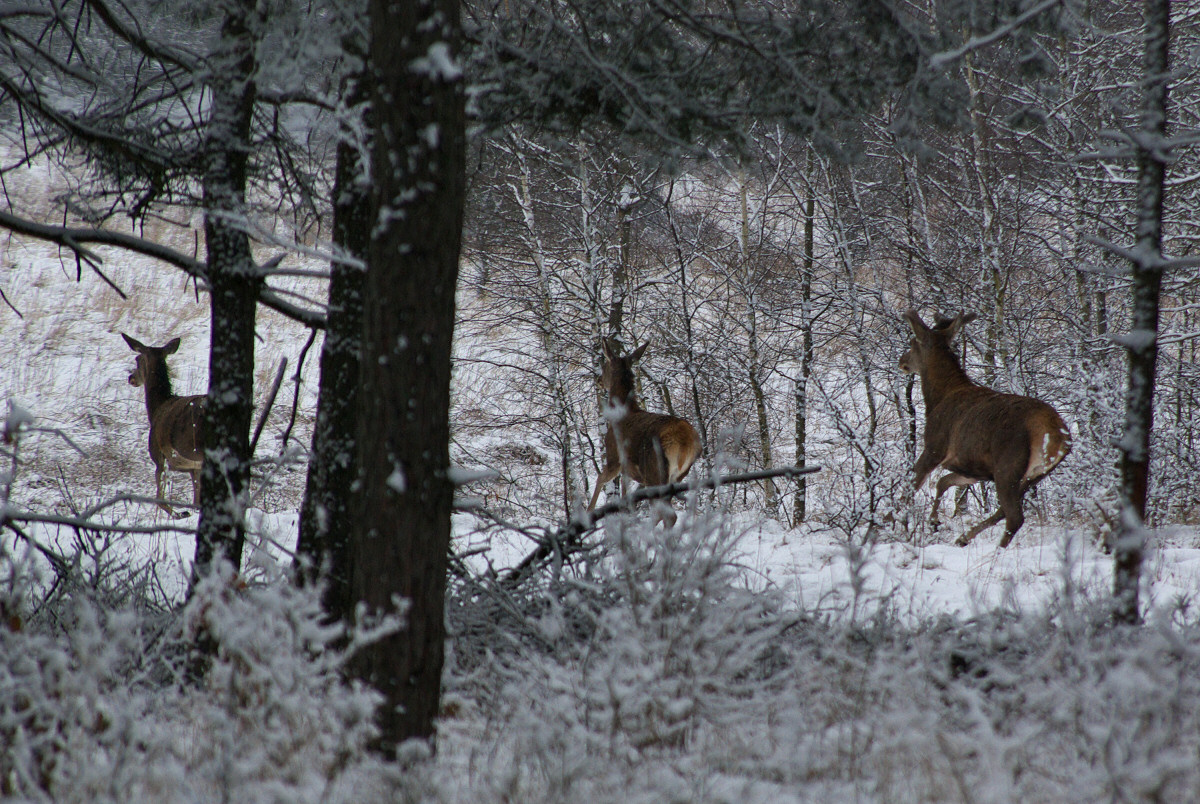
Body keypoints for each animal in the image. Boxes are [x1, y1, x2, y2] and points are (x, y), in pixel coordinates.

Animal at [120, 336, 205, 520]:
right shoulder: (194, 467)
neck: (157, 408)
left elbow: (160, 499)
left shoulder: (159, 457)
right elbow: (196, 501)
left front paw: (181, 513)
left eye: (137, 359)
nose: (131, 377)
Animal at [583, 338, 700, 528]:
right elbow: (624, 495)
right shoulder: (627, 470)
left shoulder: (614, 456)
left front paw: (587, 514)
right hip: (676, 477)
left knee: (668, 515)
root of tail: (685, 442)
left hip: (655, 470)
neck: (623, 411)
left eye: (605, 365)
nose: (599, 380)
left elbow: (601, 478)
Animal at [897, 312, 1075, 552]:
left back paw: (995, 551)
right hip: (1034, 474)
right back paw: (964, 537)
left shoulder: (935, 446)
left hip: (1008, 464)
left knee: (1015, 517)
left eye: (912, 342)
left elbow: (912, 485)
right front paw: (934, 521)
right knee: (1004, 511)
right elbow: (943, 482)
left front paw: (880, 523)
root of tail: (1058, 437)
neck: (937, 399)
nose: (902, 361)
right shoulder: (971, 468)